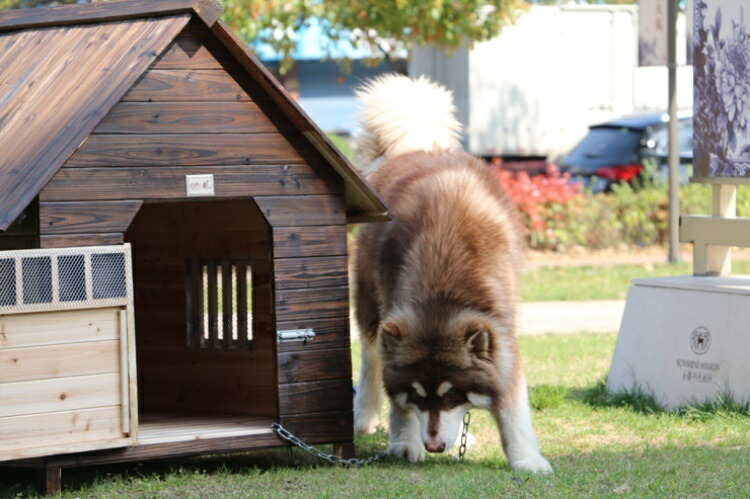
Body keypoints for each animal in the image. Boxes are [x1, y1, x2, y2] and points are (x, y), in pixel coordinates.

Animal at [352, 74, 552, 472]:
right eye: (417, 395)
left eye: (451, 396)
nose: (434, 446)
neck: (442, 295)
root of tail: (415, 148)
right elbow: (396, 402)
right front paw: (404, 441)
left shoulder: (501, 330)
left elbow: (513, 405)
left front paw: (526, 458)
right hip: (368, 301)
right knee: (369, 358)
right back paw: (364, 415)